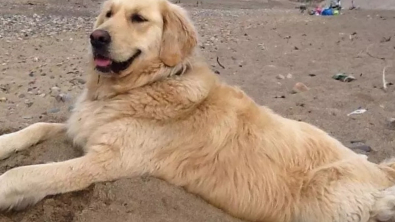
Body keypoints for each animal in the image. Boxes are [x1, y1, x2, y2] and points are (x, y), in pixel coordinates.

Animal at [1, 0, 395, 222]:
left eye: (138, 18)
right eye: (108, 14)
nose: (96, 37)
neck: (139, 86)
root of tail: (378, 169)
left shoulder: (107, 160)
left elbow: (27, 173)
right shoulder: (82, 124)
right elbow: (37, 126)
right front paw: (6, 143)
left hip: (325, 197)